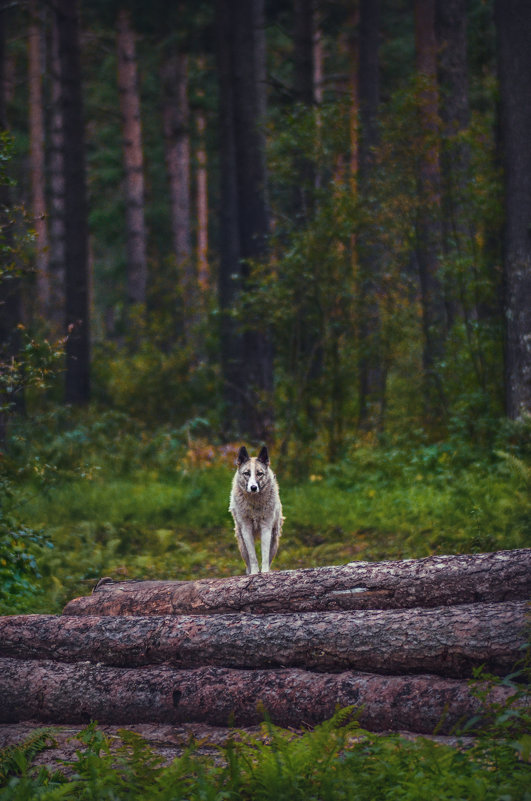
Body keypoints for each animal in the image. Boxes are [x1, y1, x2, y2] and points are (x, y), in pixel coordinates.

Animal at [231, 444, 284, 576]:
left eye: (259, 473)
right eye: (246, 473)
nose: (253, 487)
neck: (254, 504)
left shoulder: (266, 527)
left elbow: (264, 555)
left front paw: (264, 572)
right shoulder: (246, 529)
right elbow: (253, 557)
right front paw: (255, 573)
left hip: (274, 539)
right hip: (241, 543)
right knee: (247, 562)